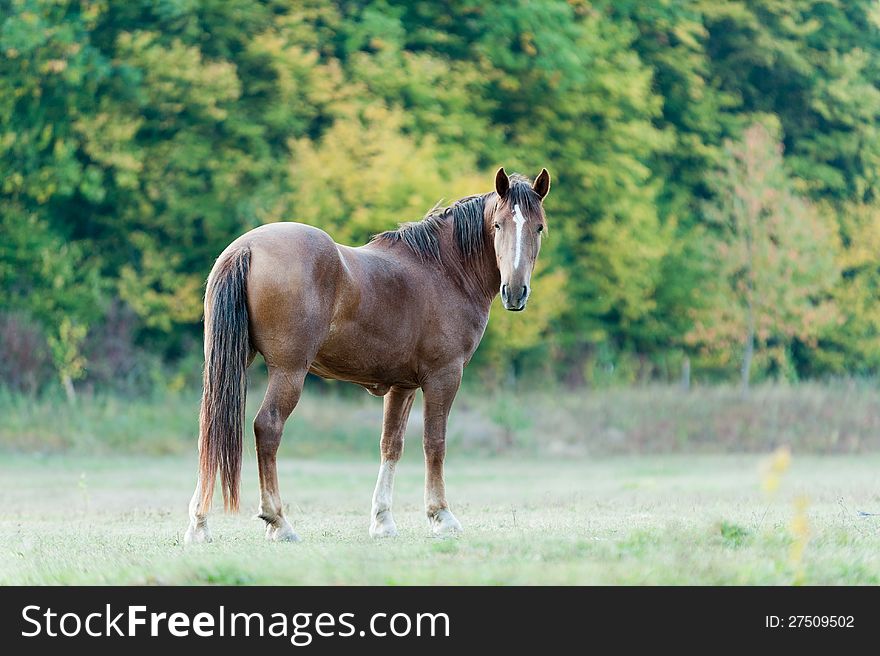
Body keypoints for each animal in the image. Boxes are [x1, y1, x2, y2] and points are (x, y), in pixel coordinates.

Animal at [184, 168, 552, 544]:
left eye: (539, 227)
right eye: (498, 225)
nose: (515, 292)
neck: (444, 270)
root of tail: (246, 248)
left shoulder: (402, 385)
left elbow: (391, 444)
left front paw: (383, 521)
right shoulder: (444, 376)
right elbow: (434, 442)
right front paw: (441, 516)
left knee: (209, 429)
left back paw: (199, 524)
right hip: (289, 372)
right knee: (268, 427)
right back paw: (278, 521)